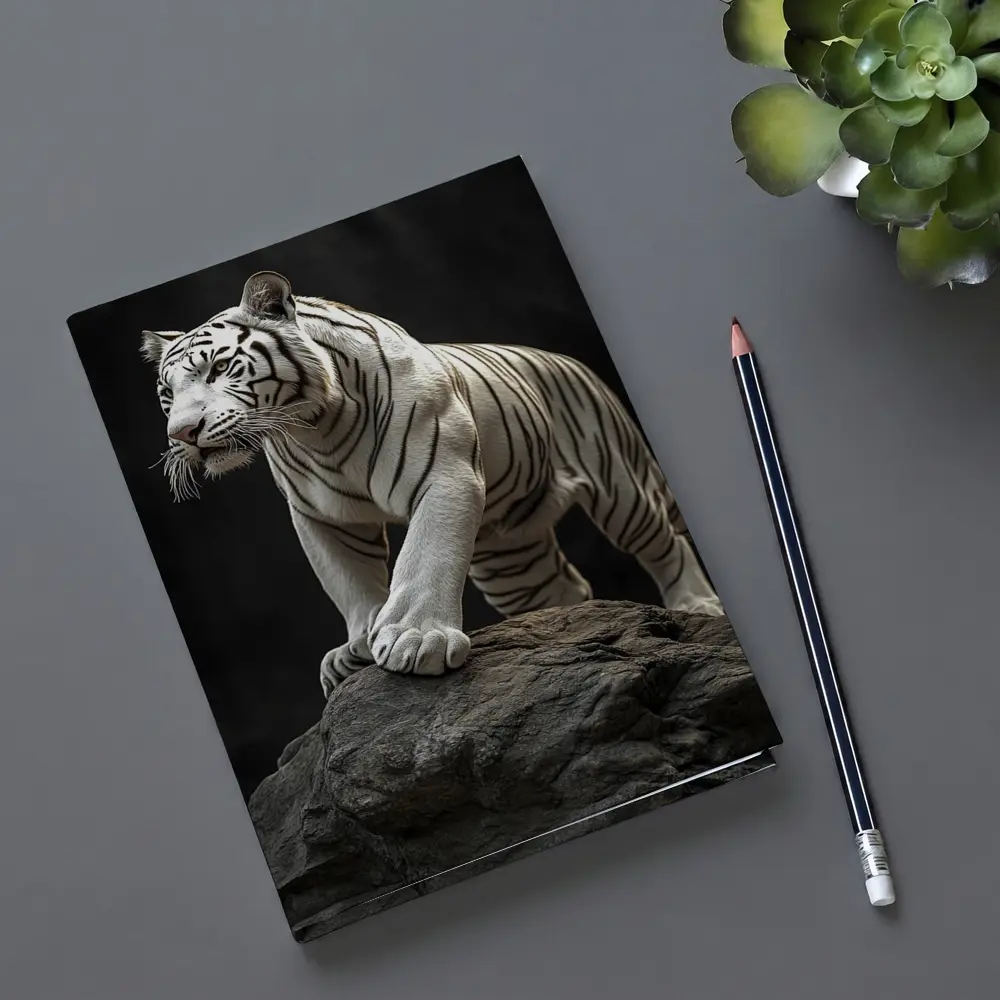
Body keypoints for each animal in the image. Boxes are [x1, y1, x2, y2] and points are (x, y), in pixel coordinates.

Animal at [142, 271, 723, 697]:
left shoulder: (444, 473)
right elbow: (350, 581)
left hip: (621, 489)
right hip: (510, 558)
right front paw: (358, 644)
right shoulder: (320, 516)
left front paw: (417, 640)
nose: (182, 434)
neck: (315, 428)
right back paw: (560, 626)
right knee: (568, 585)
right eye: (167, 394)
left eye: (219, 368)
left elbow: (425, 556)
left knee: (667, 544)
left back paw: (697, 606)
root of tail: (572, 362)